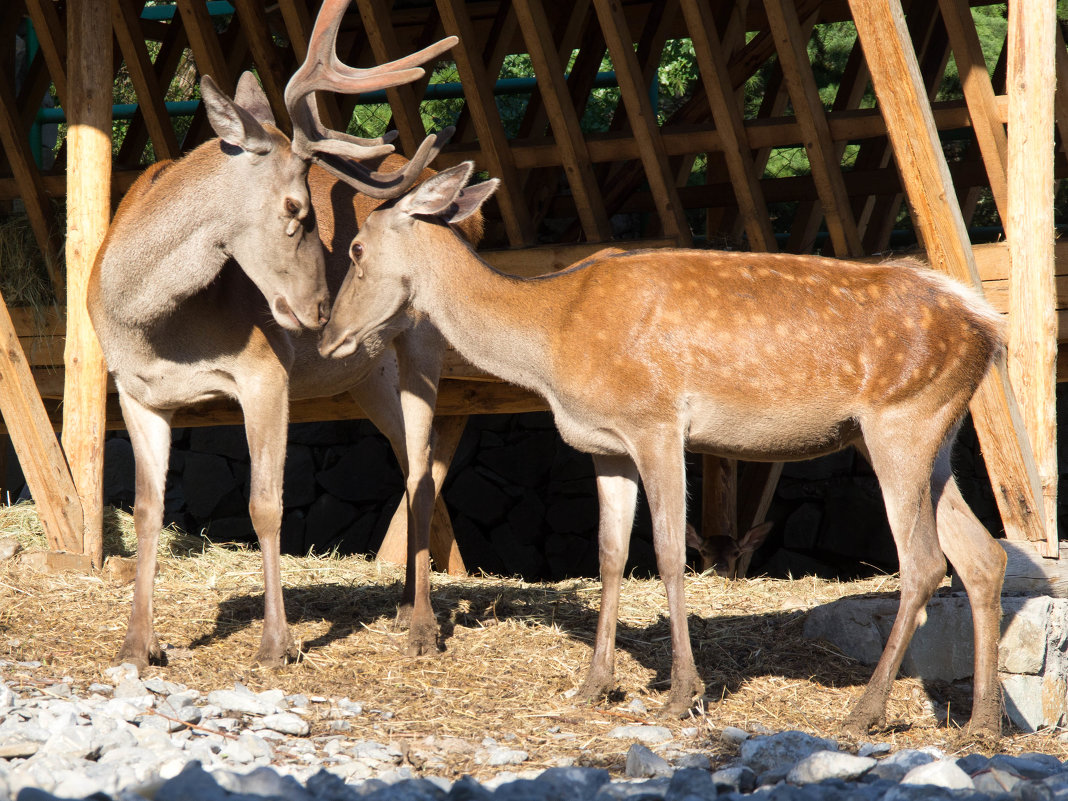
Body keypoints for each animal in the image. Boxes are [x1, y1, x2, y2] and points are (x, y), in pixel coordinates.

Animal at [87, 0, 463, 670]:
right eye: (295, 209)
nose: (321, 311)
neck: (150, 327)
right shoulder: (135, 391)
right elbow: (147, 511)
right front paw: (138, 645)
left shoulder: (265, 370)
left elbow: (266, 505)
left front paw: (277, 644)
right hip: (367, 373)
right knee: (407, 459)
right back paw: (400, 607)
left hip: (424, 341)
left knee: (422, 466)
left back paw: (422, 627)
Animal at [316, 164, 1008, 739]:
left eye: (354, 249)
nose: (325, 338)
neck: (550, 338)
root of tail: (989, 328)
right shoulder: (605, 445)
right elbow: (610, 555)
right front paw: (595, 685)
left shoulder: (656, 423)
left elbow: (672, 553)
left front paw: (682, 693)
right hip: (933, 437)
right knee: (983, 556)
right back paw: (982, 724)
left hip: (899, 421)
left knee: (924, 562)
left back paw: (866, 711)